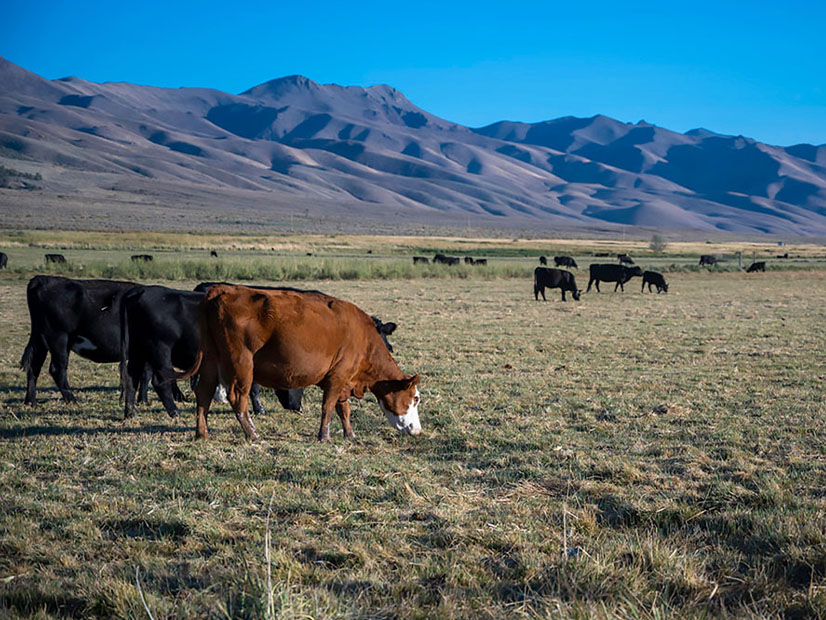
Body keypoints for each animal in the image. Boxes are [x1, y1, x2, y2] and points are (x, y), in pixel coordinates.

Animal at [174, 284, 418, 440]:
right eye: (415, 399)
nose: (417, 429)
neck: (363, 338)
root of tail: (220, 289)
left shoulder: (343, 381)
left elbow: (343, 409)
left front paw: (350, 435)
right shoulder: (337, 377)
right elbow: (329, 407)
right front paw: (324, 436)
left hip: (210, 360)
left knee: (203, 393)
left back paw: (202, 433)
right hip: (241, 363)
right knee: (237, 398)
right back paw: (253, 435)